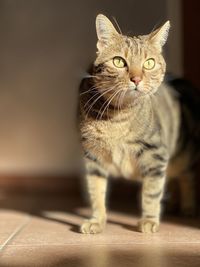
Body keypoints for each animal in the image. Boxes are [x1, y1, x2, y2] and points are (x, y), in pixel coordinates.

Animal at [78, 14, 200, 234]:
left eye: (149, 63)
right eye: (119, 61)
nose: (136, 78)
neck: (116, 118)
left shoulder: (156, 154)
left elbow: (151, 192)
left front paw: (149, 220)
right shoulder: (92, 156)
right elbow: (96, 192)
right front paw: (97, 220)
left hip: (182, 154)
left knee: (187, 177)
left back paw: (187, 207)